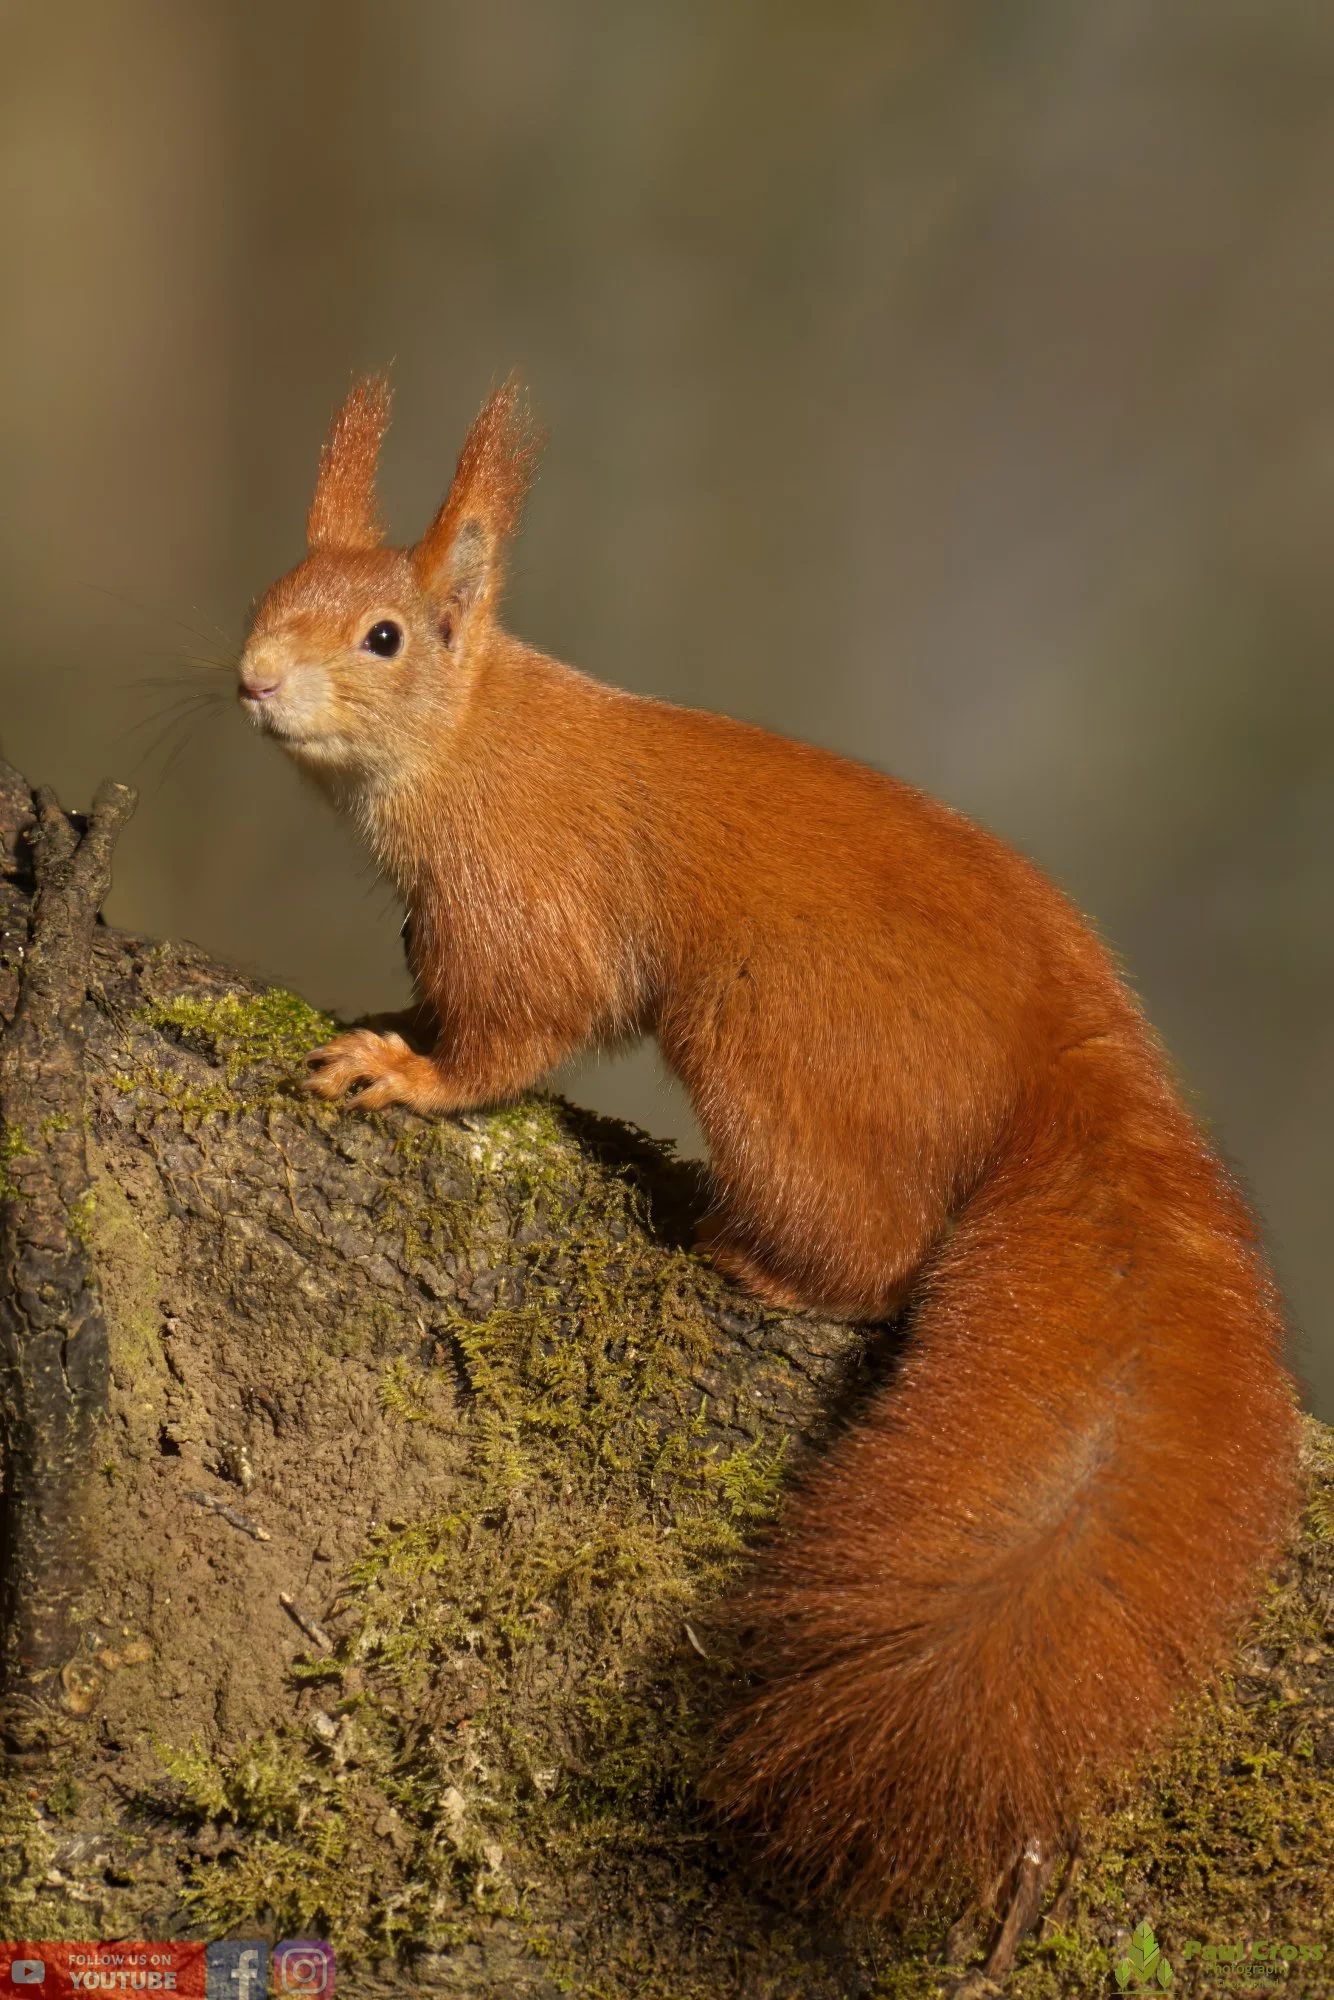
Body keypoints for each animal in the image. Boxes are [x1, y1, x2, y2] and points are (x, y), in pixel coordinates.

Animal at [237, 376, 1300, 1914]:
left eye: (381, 635)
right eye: (271, 589)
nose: (254, 680)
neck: (474, 734)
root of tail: (1065, 1055)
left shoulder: (522, 894)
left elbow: (514, 1027)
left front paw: (409, 1071)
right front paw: (389, 1021)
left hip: (774, 1058)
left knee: (873, 1254)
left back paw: (753, 1259)